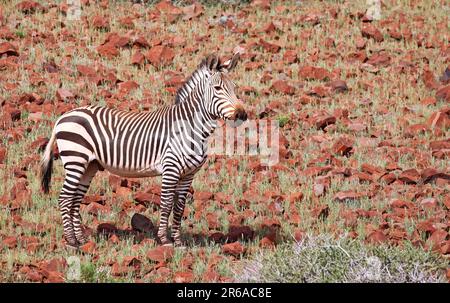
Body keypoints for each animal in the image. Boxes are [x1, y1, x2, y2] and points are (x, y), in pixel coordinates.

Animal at [40, 54, 248, 249]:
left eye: (234, 87)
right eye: (218, 88)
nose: (242, 114)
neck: (190, 128)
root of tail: (62, 118)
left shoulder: (188, 174)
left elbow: (179, 207)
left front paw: (179, 241)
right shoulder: (171, 169)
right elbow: (166, 204)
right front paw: (165, 240)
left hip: (88, 165)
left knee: (75, 200)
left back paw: (81, 239)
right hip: (76, 160)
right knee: (65, 198)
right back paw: (71, 241)